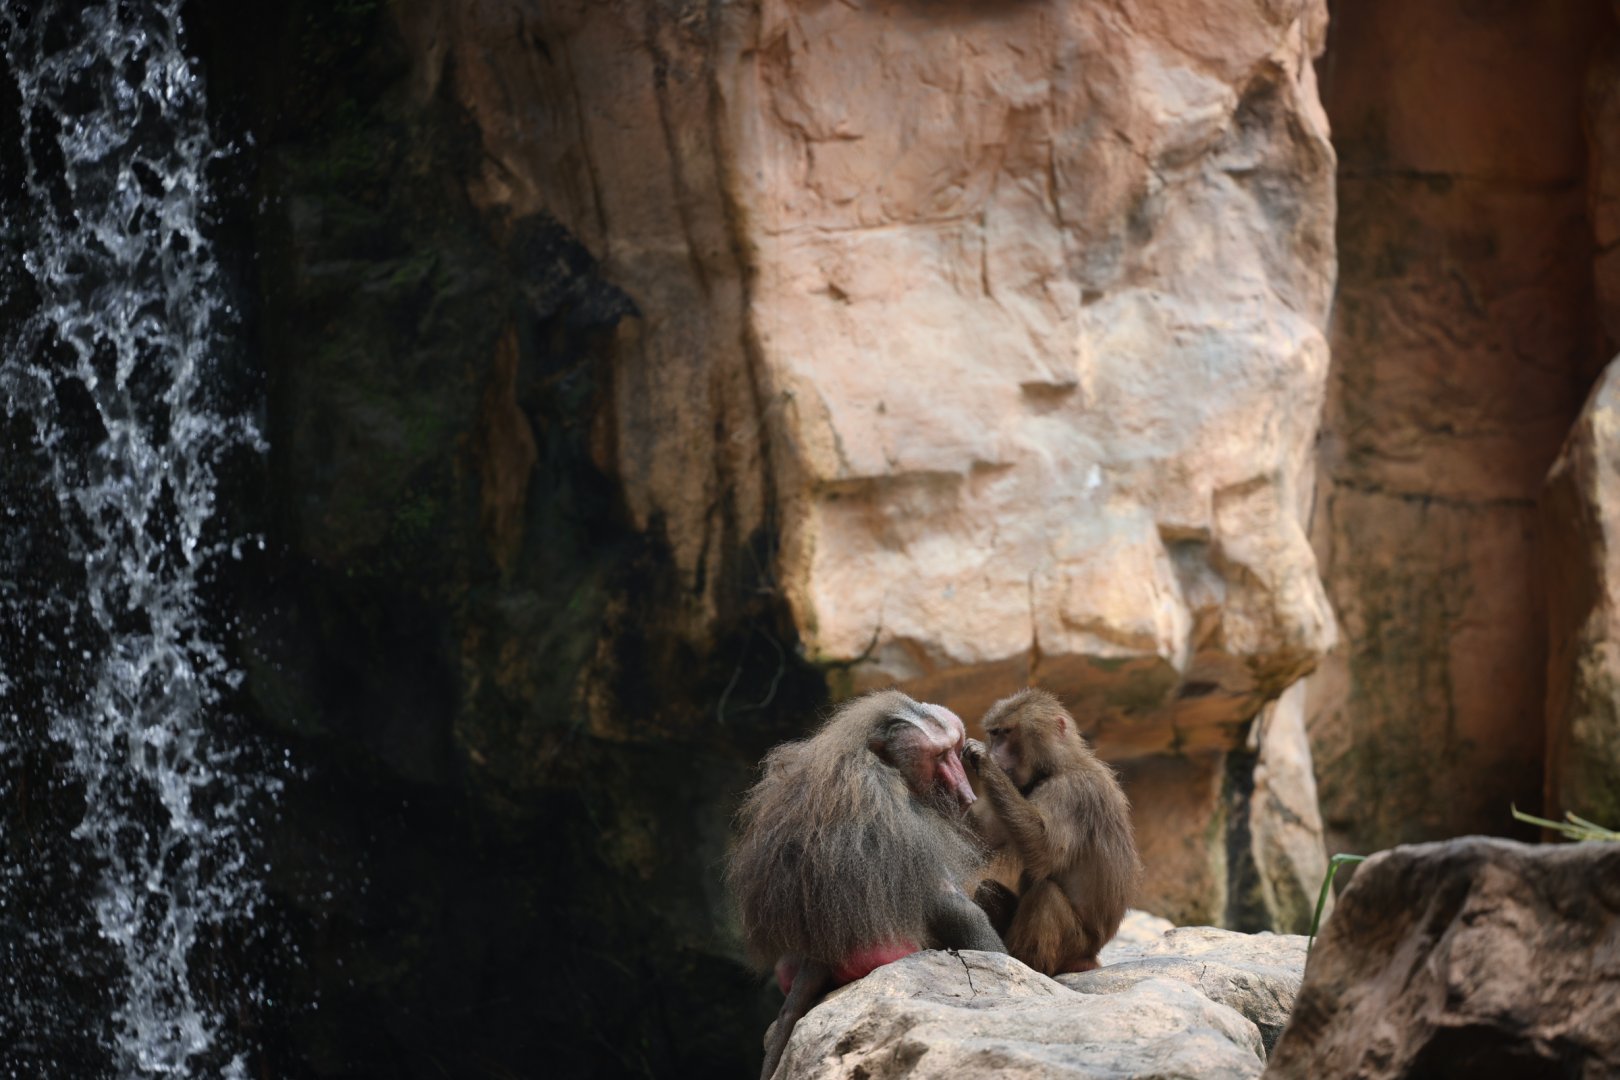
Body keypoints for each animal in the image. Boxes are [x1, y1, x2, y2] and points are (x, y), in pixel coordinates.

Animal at [727, 689, 1007, 1080]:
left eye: (954, 749)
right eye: (939, 756)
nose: (966, 795)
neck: (873, 756)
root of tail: (819, 953)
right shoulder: (895, 812)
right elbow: (950, 903)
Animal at [962, 687, 1140, 976]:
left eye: (1007, 733)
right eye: (995, 733)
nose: (996, 753)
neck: (1055, 766)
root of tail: (1091, 957)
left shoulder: (1071, 792)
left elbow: (1045, 849)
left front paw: (984, 761)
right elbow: (974, 839)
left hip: (1074, 945)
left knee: (1046, 896)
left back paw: (1025, 963)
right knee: (988, 889)